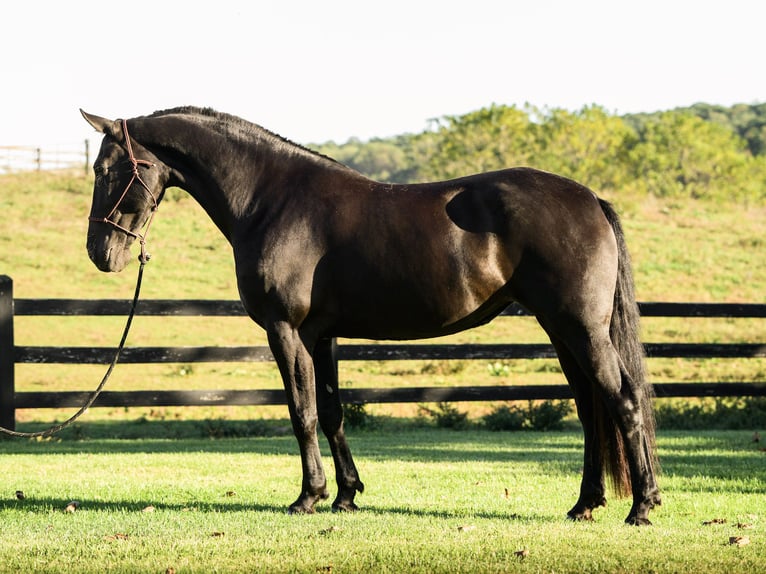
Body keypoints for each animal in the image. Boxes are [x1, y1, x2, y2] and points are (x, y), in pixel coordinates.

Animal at [81, 106, 660, 525]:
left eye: (110, 169)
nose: (100, 253)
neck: (271, 200)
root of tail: (591, 199)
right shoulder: (321, 336)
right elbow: (333, 411)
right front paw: (346, 495)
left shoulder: (286, 331)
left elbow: (303, 412)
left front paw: (308, 497)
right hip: (561, 331)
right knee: (590, 410)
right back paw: (585, 504)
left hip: (581, 329)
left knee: (623, 400)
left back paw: (642, 506)